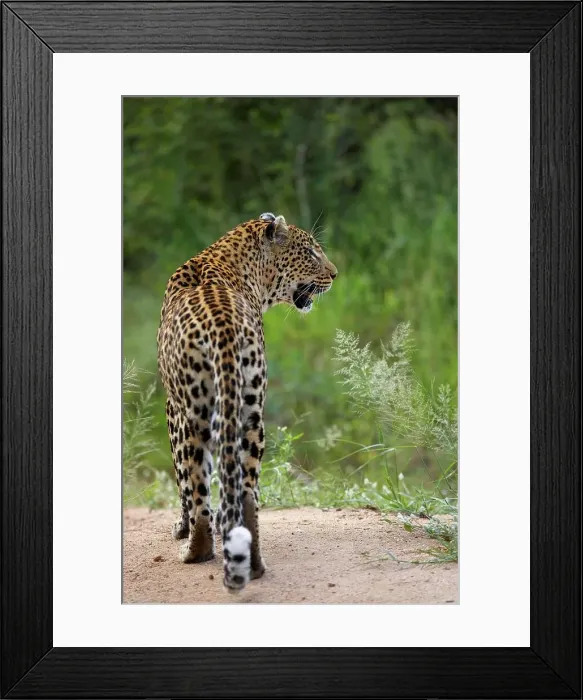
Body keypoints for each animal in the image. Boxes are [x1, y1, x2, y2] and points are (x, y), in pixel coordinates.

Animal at [157, 213, 338, 591]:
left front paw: (179, 529)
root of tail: (222, 324)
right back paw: (252, 562)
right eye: (311, 252)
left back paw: (195, 550)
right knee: (248, 492)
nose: (335, 274)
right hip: (251, 412)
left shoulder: (171, 408)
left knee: (198, 486)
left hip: (194, 414)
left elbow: (181, 480)